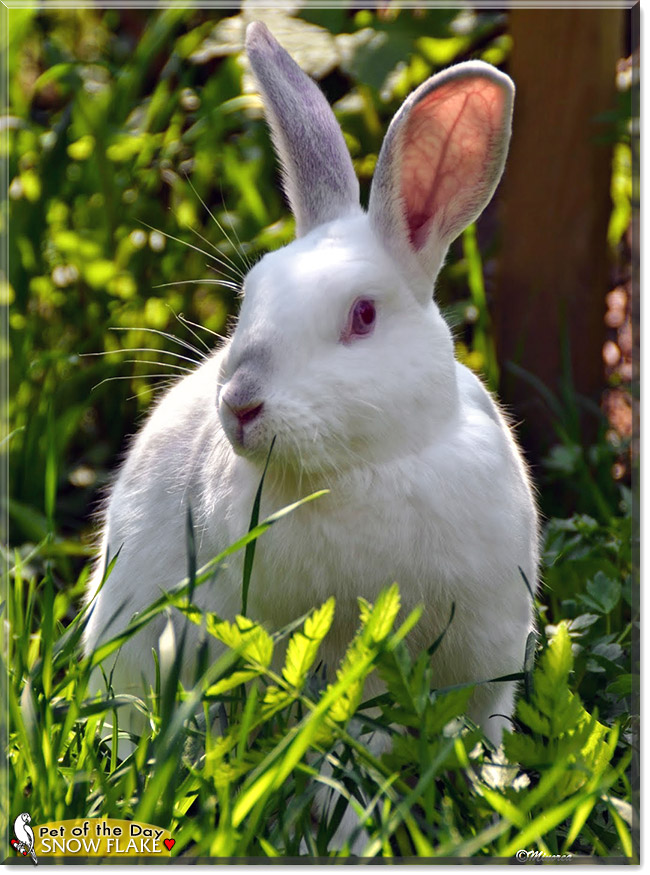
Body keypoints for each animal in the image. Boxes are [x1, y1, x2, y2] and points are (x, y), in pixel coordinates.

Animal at [82, 24, 536, 756]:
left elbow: (483, 727)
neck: (364, 470)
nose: (239, 403)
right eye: (250, 294)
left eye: (364, 315)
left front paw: (492, 773)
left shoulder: (489, 651)